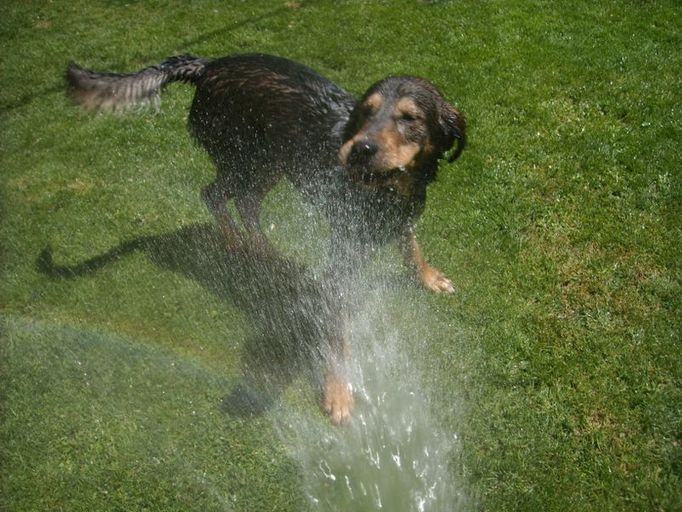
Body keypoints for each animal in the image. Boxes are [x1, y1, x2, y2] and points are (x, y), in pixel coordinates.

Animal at [66, 53, 464, 424]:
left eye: (409, 118)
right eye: (366, 112)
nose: (359, 149)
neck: (391, 188)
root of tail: (209, 66)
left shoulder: (400, 218)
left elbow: (410, 244)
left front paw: (428, 277)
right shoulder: (342, 259)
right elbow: (337, 335)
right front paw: (338, 392)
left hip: (272, 161)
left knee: (245, 203)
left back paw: (266, 252)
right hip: (247, 158)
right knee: (214, 195)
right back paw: (239, 245)